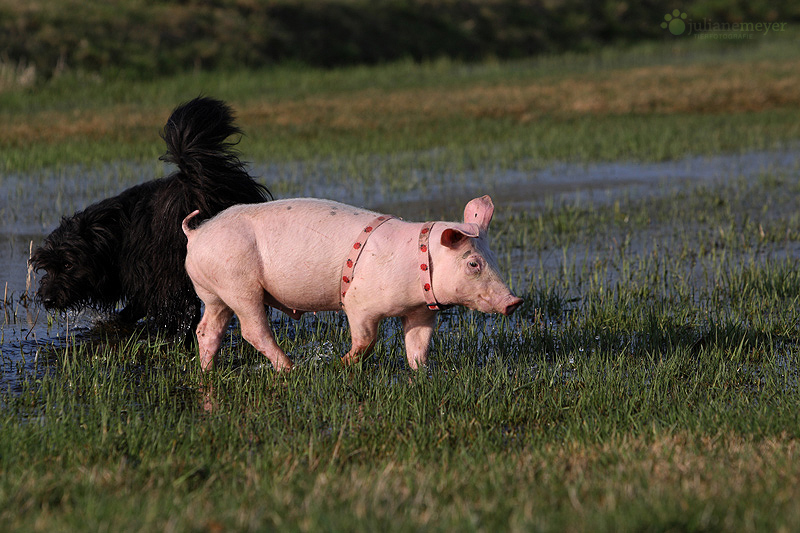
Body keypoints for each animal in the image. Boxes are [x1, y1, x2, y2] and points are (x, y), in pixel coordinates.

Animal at [29, 96, 272, 332]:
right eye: (47, 267)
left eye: (68, 265)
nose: (47, 299)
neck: (110, 237)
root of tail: (202, 185)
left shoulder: (148, 274)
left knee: (185, 309)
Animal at [182, 193, 520, 372]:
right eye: (473, 263)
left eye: (492, 256)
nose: (515, 302)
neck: (416, 266)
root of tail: (195, 234)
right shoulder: (359, 303)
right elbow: (366, 339)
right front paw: (340, 364)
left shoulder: (422, 311)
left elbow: (418, 344)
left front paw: (421, 372)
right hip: (238, 284)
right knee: (252, 330)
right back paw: (291, 369)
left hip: (213, 291)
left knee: (208, 329)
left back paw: (207, 370)